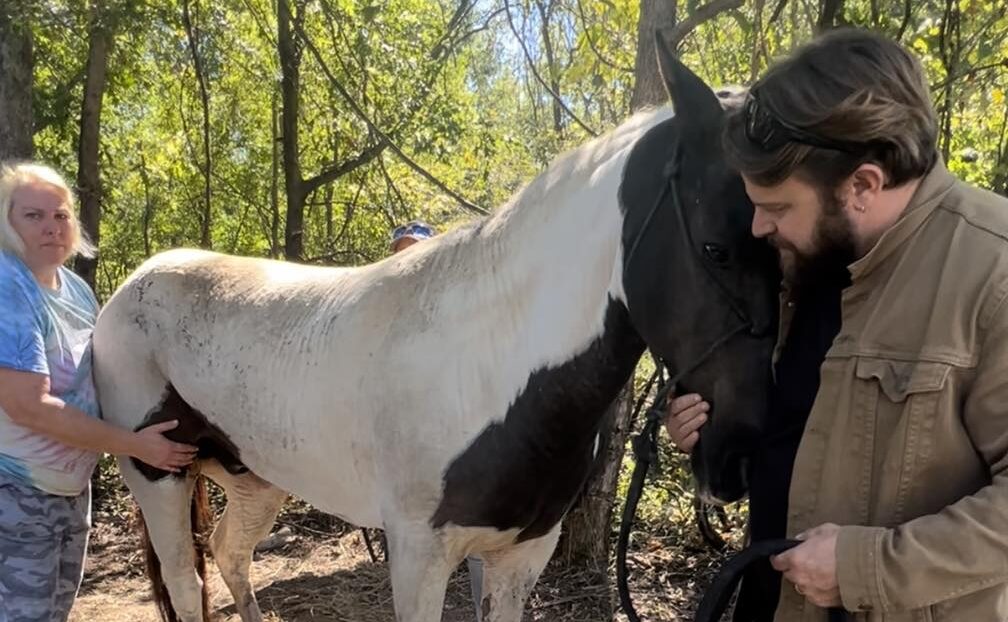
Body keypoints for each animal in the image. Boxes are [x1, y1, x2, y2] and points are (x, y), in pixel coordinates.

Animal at [92, 40, 779, 622]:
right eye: (715, 249)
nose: (743, 456)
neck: (492, 366)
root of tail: (133, 285)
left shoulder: (521, 556)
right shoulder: (418, 558)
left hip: (255, 480)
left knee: (229, 553)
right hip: (158, 478)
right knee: (186, 584)